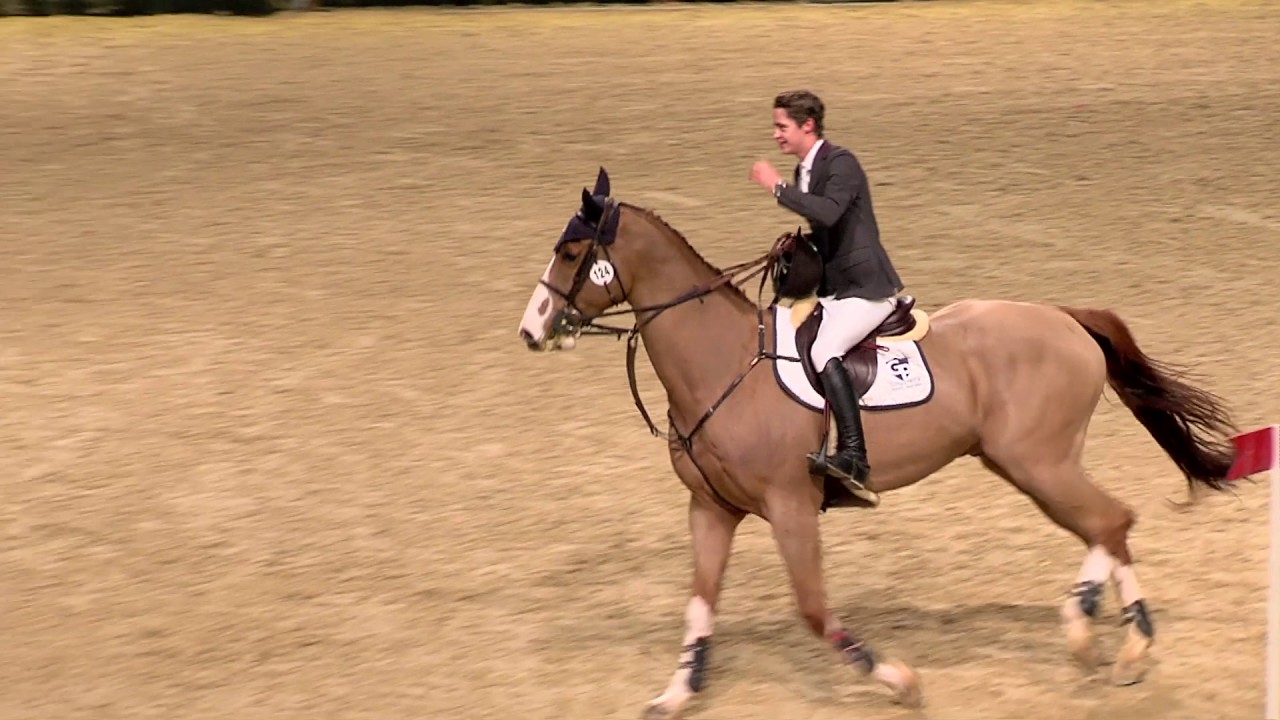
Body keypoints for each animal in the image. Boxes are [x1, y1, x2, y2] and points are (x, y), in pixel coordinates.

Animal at [515, 167, 1239, 718]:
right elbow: (700, 605)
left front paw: (899, 681)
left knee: (1111, 520)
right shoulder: (712, 509)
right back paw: (1111, 635)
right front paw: (676, 693)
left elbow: (813, 611)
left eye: (572, 255)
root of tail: (1065, 318)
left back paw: (1104, 634)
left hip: (1038, 462)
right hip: (1026, 463)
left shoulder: (790, 507)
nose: (531, 329)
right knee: (1106, 526)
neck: (721, 362)